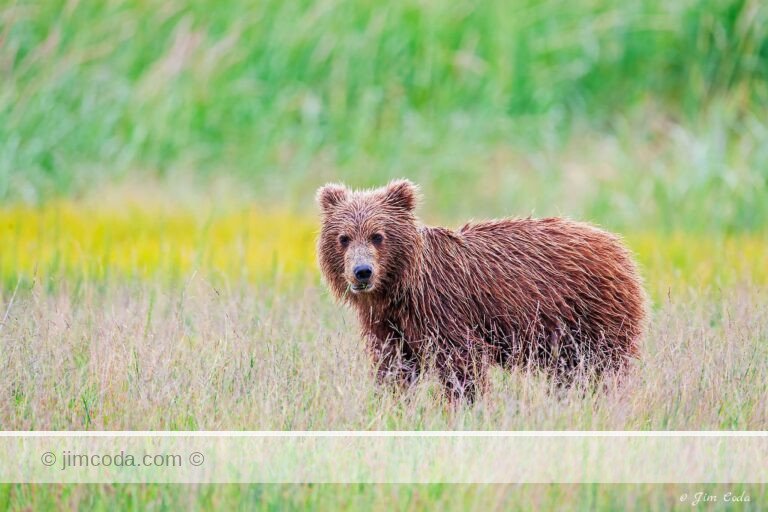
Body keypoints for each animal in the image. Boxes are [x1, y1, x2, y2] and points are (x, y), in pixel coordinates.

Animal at [316, 179, 648, 402]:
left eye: (378, 235)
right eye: (343, 237)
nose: (362, 271)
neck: (401, 289)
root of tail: (618, 246)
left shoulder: (445, 310)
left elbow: (463, 364)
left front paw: (465, 405)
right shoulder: (387, 323)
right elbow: (393, 366)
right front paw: (392, 402)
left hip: (593, 314)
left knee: (601, 367)